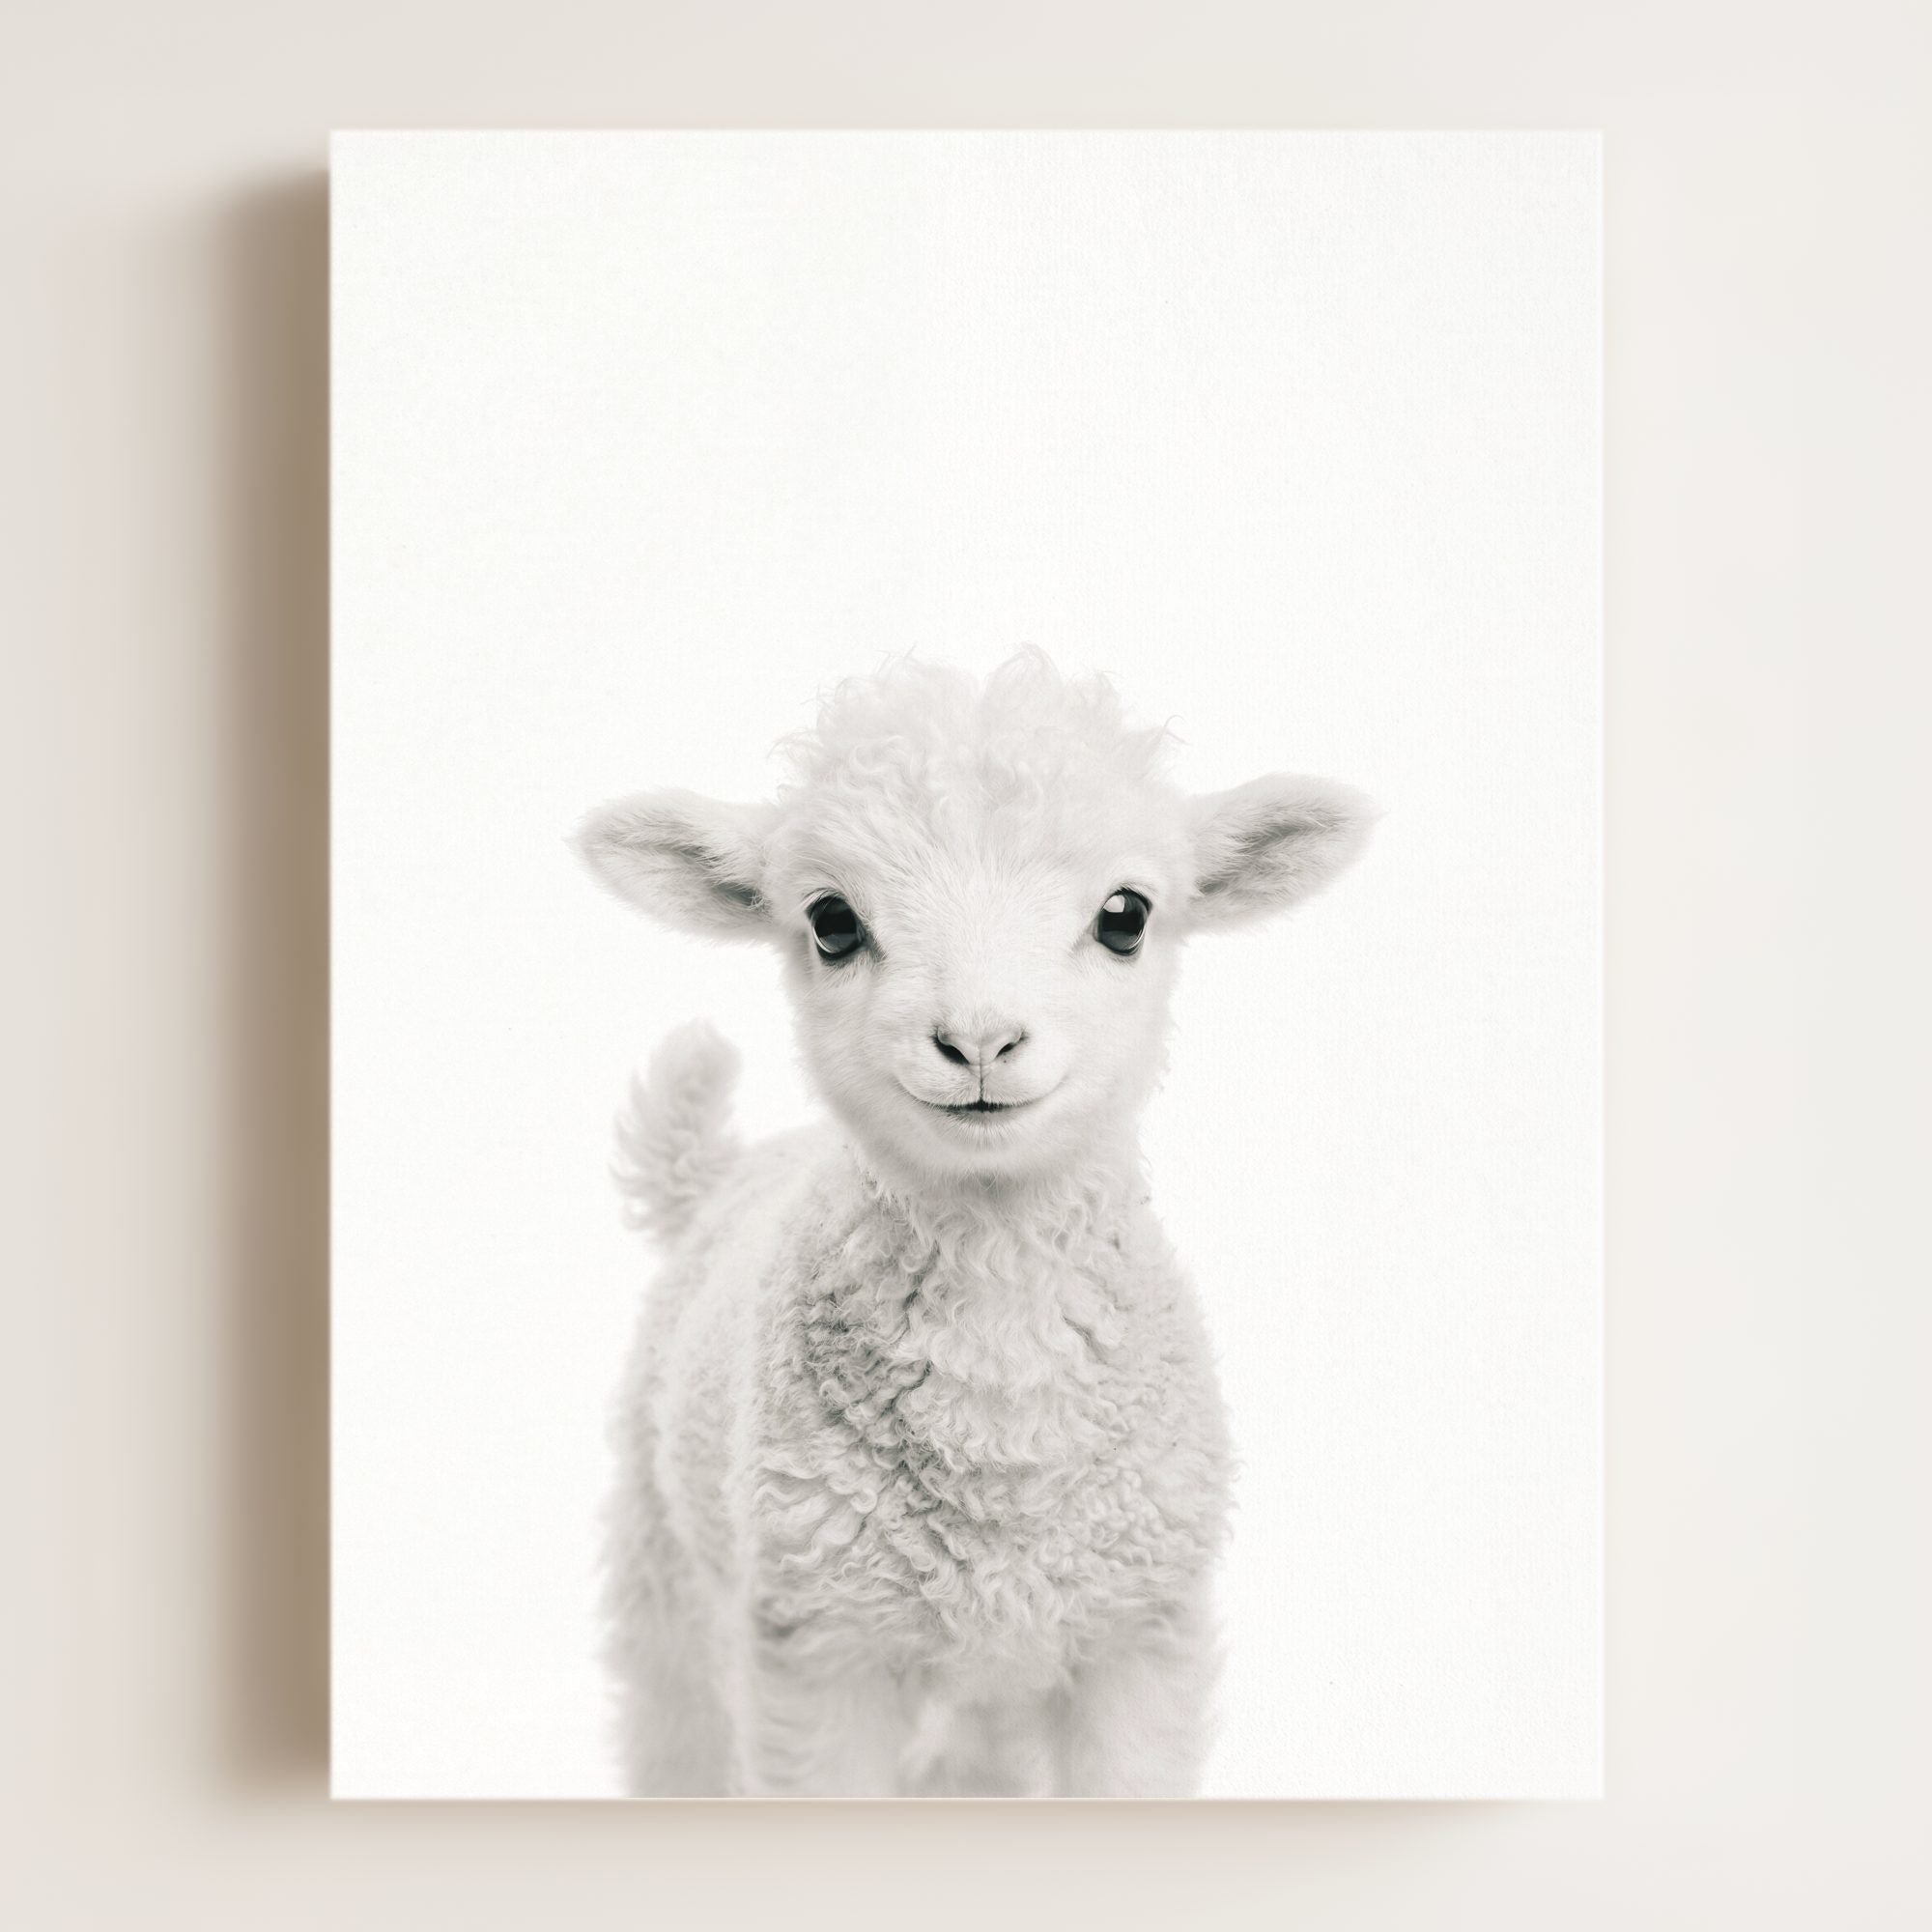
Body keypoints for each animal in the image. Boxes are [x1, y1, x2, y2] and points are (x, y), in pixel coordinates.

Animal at [575, 649, 1375, 1797]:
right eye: (830, 921)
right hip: (669, 1573)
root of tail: (722, 1171)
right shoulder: (819, 1650)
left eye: (1126, 914)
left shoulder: (1137, 1637)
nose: (980, 1040)